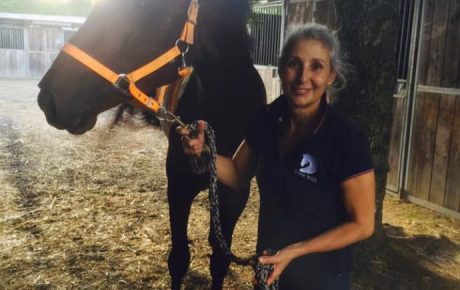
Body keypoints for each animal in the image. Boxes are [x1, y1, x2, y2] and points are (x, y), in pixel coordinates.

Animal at [36, 0, 266, 290]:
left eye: (146, 8)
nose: (48, 98)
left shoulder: (235, 195)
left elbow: (219, 260)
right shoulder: (178, 187)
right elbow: (179, 258)